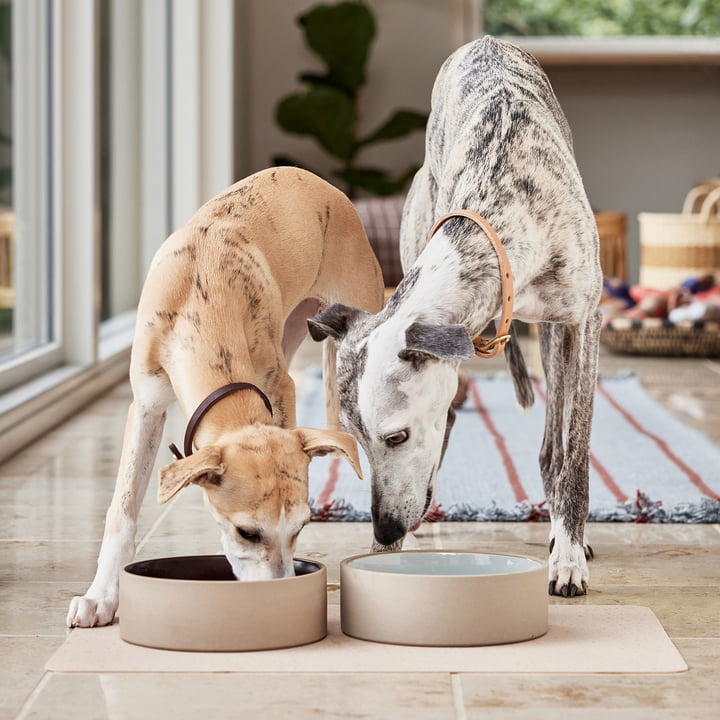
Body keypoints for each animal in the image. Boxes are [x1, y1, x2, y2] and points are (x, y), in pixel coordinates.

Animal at [67, 167, 386, 624]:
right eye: (246, 532)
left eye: (300, 527)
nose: (279, 595)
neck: (200, 300)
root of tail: (318, 181)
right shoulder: (145, 406)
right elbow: (122, 511)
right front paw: (100, 597)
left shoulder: (279, 389)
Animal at [310, 36, 600, 596]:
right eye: (355, 438)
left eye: (395, 437)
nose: (384, 530)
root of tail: (486, 42)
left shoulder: (583, 321)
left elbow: (574, 456)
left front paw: (570, 555)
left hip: (556, 337)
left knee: (553, 446)